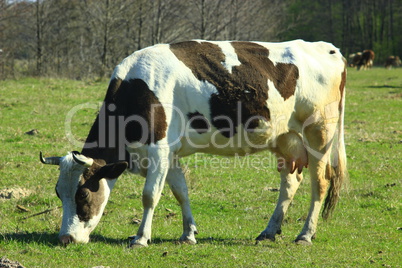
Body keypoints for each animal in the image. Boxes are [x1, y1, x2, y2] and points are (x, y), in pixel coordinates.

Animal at [41, 39, 348, 247]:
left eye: (82, 195)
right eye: (58, 192)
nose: (65, 238)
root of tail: (328, 48)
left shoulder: (159, 150)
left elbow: (150, 195)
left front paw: (141, 238)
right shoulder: (171, 154)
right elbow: (181, 192)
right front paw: (188, 233)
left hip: (319, 133)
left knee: (320, 183)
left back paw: (305, 234)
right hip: (285, 138)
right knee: (290, 183)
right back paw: (269, 231)